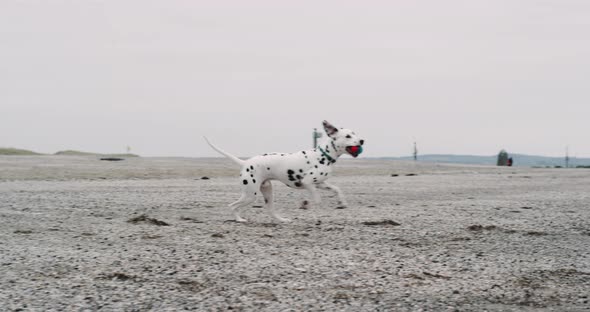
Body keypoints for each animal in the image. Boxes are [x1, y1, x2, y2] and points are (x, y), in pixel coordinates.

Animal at [207, 119, 366, 222]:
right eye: (348, 136)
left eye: (354, 133)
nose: (362, 141)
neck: (323, 155)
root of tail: (246, 162)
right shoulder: (307, 182)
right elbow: (317, 198)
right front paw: (316, 207)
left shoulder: (321, 183)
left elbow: (337, 189)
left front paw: (342, 202)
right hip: (251, 194)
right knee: (232, 206)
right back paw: (239, 219)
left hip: (267, 192)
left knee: (270, 210)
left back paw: (282, 220)